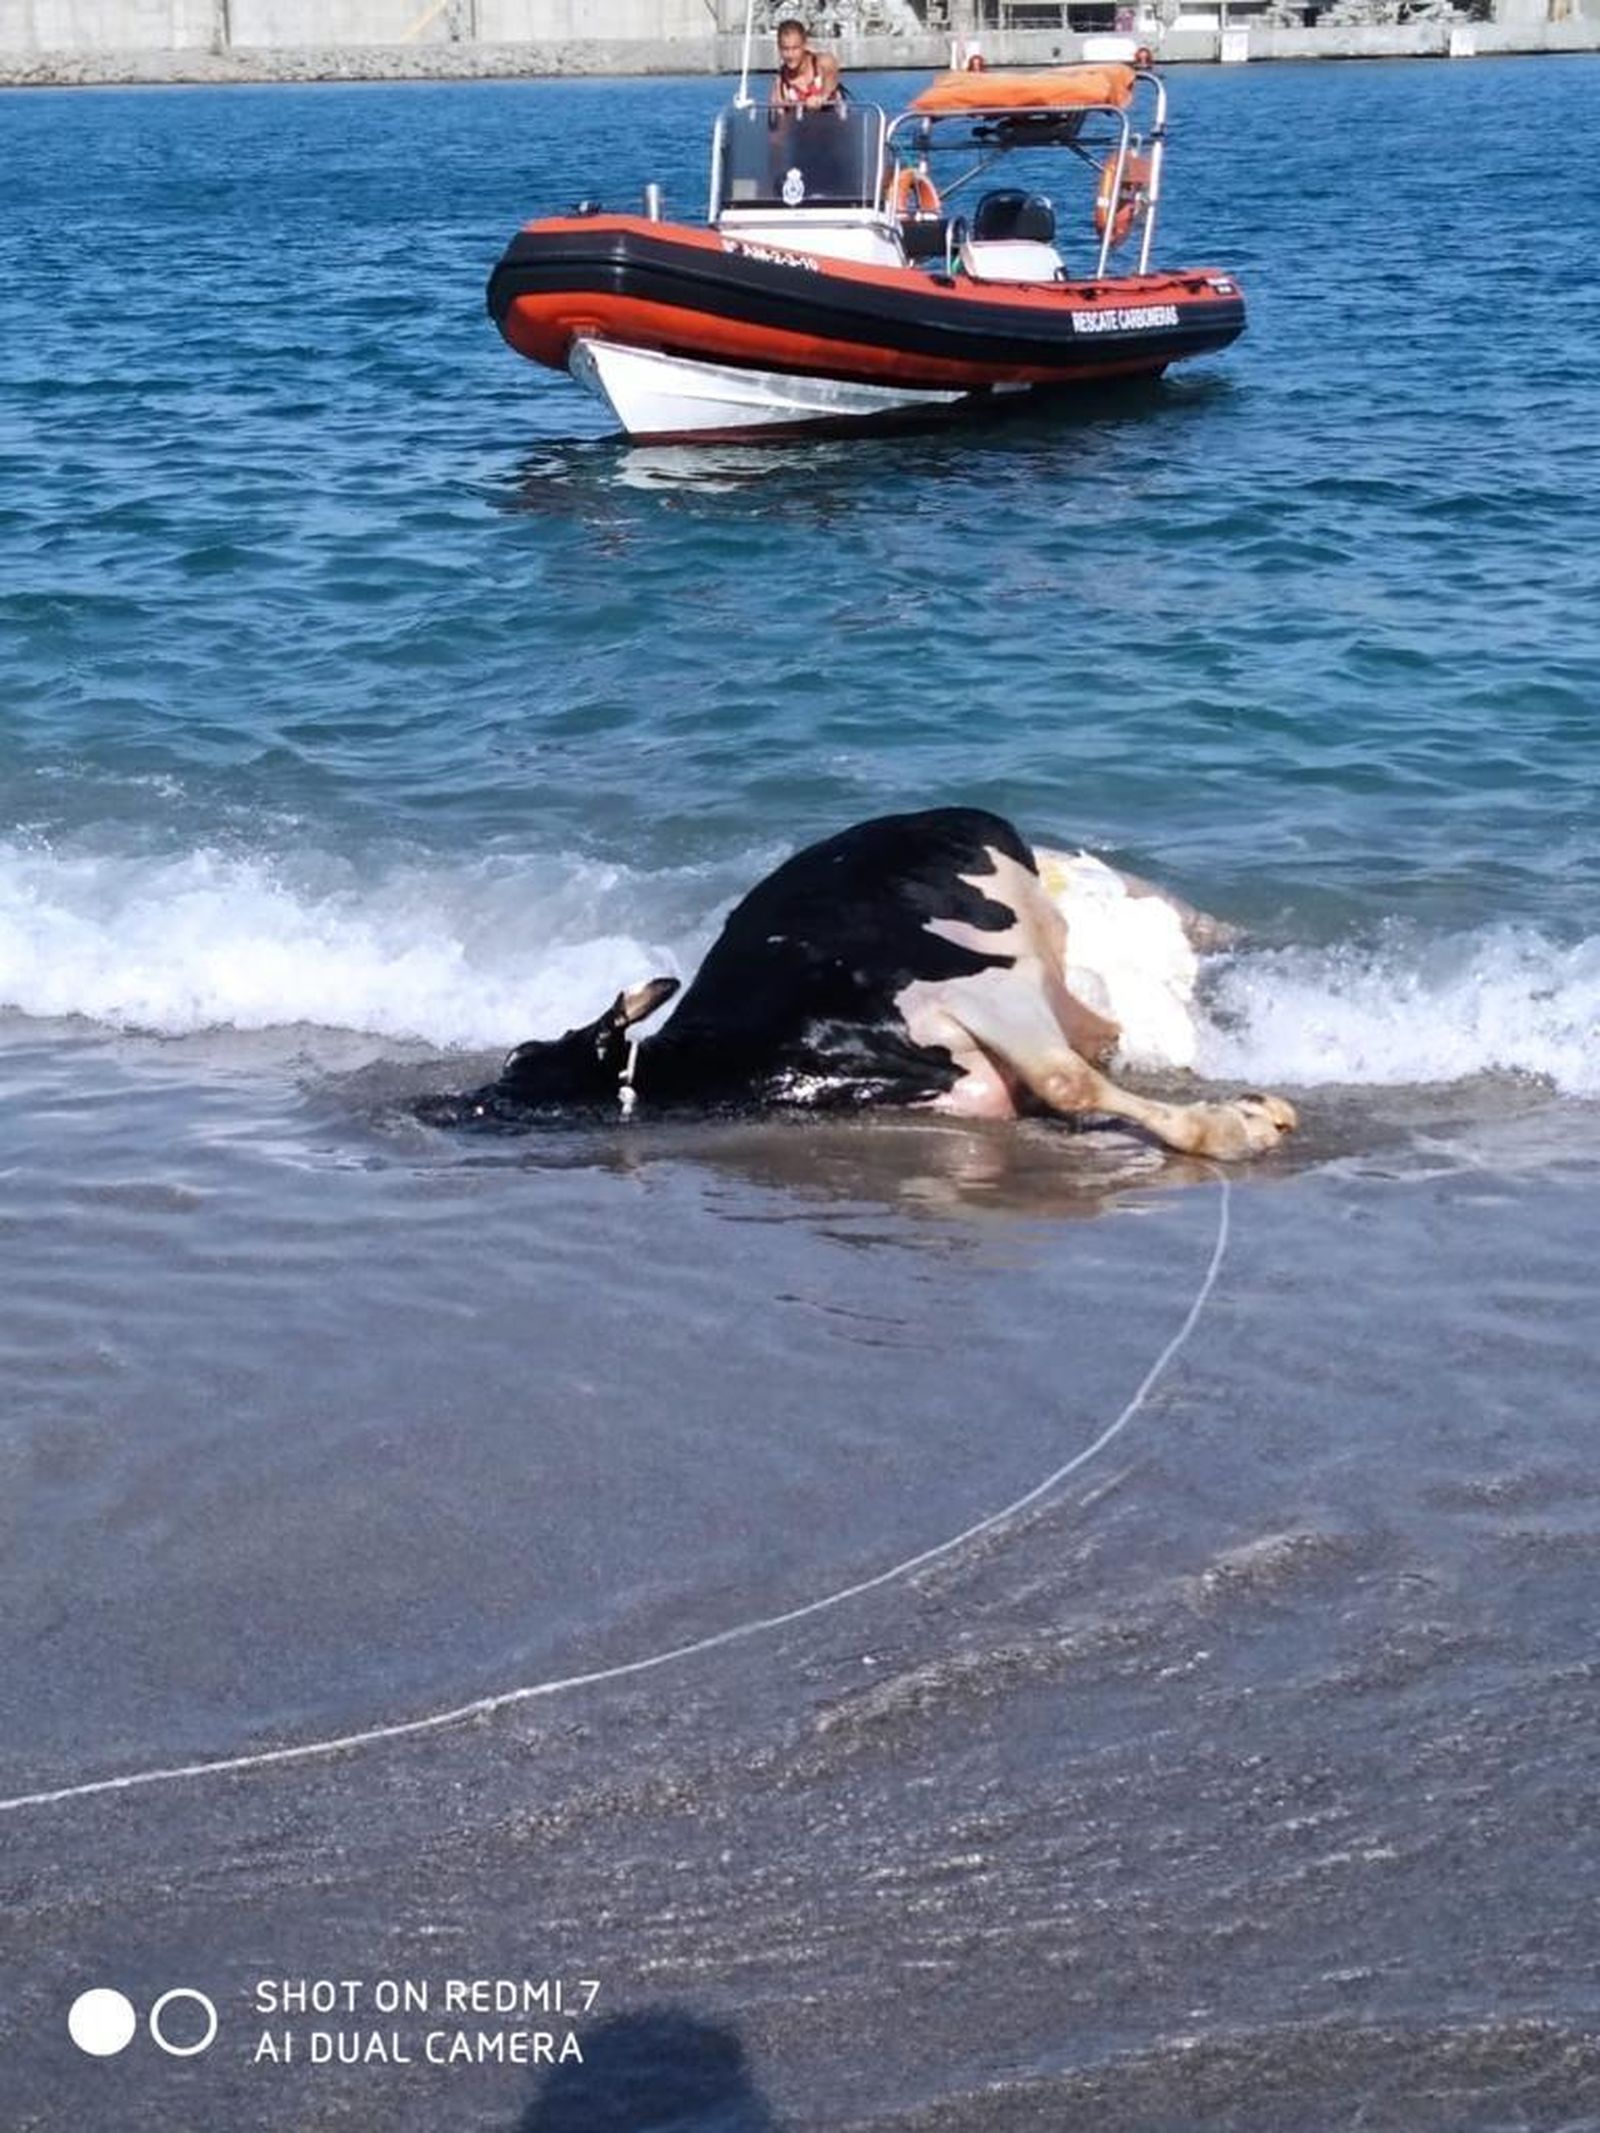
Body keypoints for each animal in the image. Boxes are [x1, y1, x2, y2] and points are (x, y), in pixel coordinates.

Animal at [416, 808, 1296, 1162]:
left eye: (523, 1057)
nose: (432, 1106)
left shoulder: (970, 987)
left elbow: (1066, 1078)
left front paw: (1239, 1124)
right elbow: (1072, 1077)